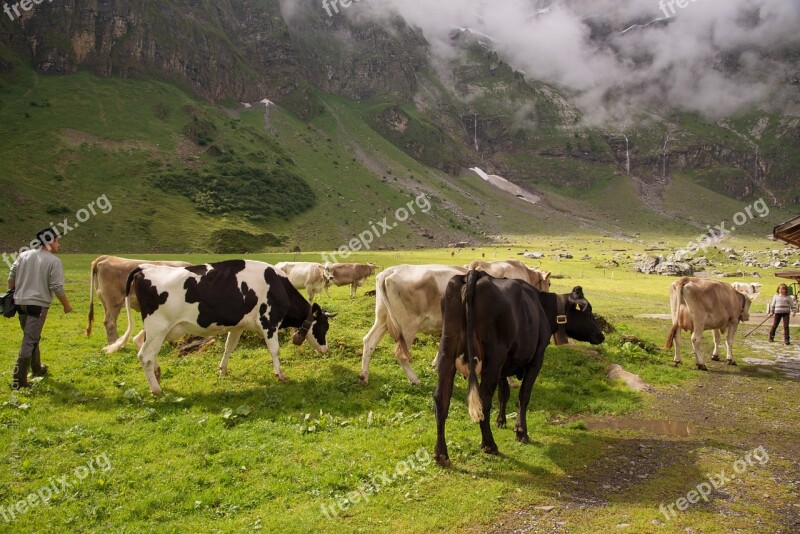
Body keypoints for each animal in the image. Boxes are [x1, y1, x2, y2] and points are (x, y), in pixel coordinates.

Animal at [103, 262, 334, 396]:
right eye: (324, 327)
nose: (326, 350)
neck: (277, 284)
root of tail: (144, 268)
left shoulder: (239, 326)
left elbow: (229, 347)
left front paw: (222, 370)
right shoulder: (268, 322)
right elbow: (275, 350)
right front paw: (280, 374)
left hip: (158, 329)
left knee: (139, 342)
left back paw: (158, 374)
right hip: (158, 326)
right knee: (145, 355)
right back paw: (156, 389)